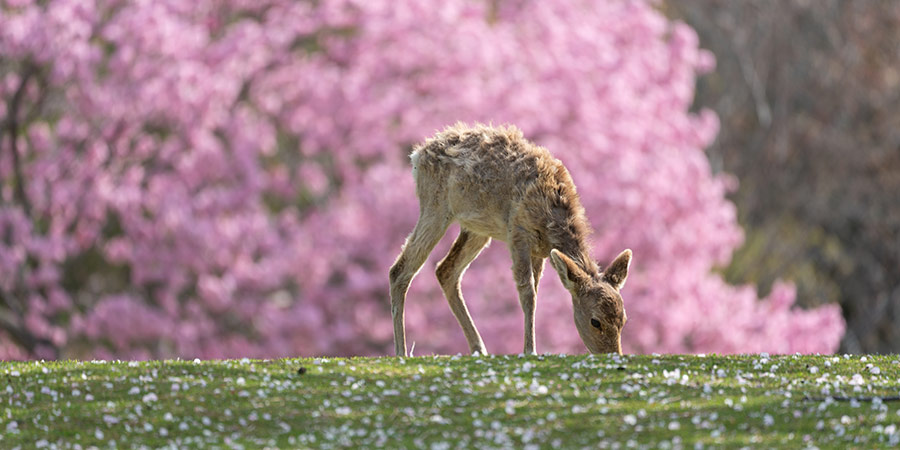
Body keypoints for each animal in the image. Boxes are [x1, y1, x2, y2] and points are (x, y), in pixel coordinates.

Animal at [388, 121, 632, 356]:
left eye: (623, 319)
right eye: (595, 321)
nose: (613, 353)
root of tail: (417, 155)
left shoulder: (540, 250)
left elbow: (535, 293)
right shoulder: (518, 233)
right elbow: (527, 292)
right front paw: (530, 349)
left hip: (477, 229)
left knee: (445, 270)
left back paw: (479, 348)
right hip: (435, 206)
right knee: (400, 269)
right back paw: (401, 351)